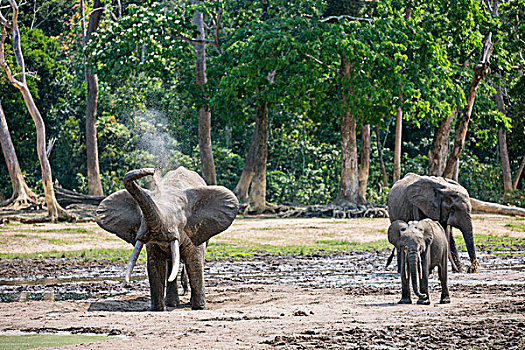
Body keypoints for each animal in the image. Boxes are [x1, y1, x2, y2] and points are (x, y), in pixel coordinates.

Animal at [95, 167, 238, 312]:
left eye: (179, 215)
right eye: (141, 215)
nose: (151, 171)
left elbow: (194, 262)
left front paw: (199, 308)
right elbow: (154, 265)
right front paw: (157, 310)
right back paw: (171, 304)